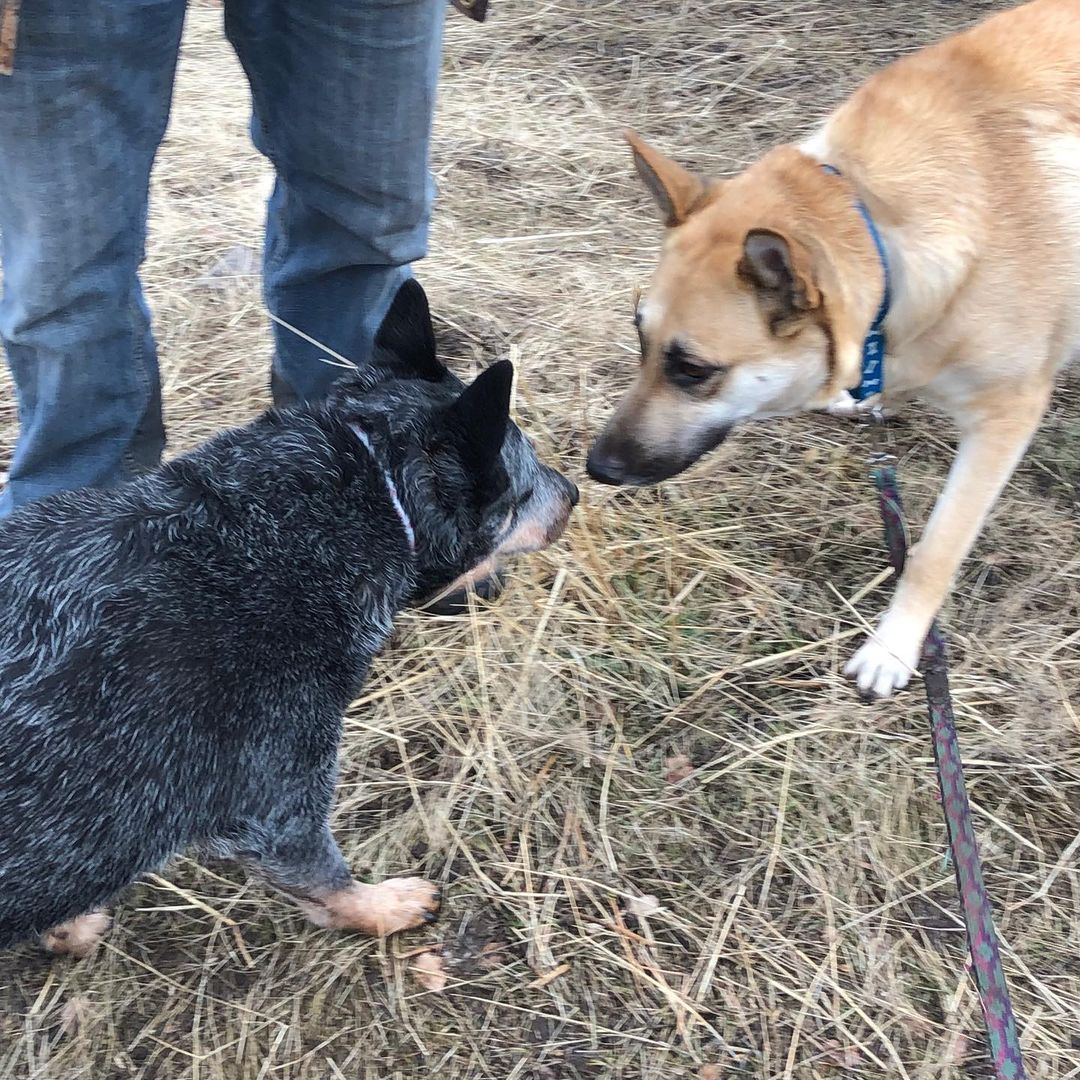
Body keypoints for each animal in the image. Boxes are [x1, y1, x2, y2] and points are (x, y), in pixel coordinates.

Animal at [0, 282, 578, 959]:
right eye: (526, 477)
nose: (575, 491)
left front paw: (67, 928)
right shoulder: (277, 795)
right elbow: (328, 883)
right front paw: (385, 908)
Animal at [591, 0, 1080, 695]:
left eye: (692, 369)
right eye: (639, 338)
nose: (595, 468)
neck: (877, 227)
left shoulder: (1005, 416)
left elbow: (934, 551)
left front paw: (895, 646)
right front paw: (866, 398)